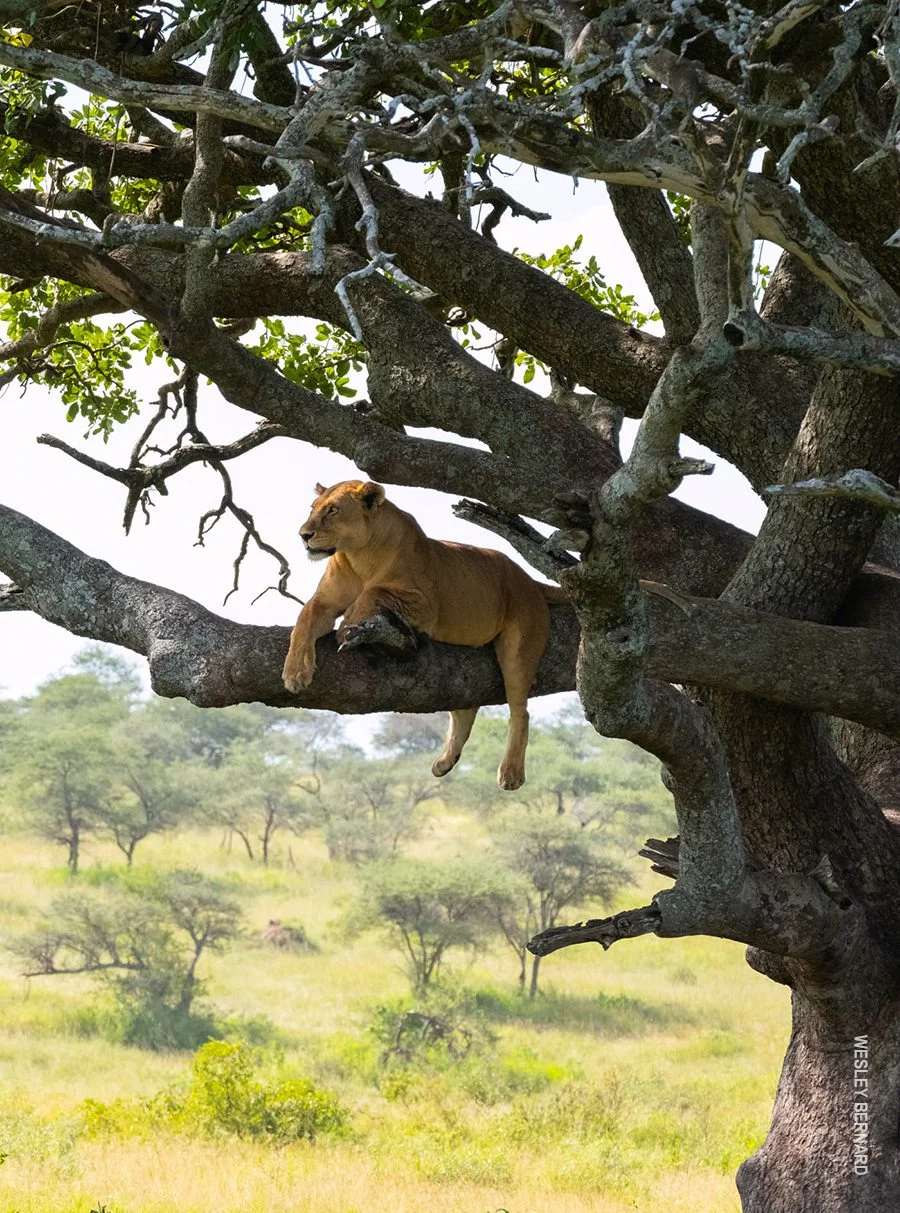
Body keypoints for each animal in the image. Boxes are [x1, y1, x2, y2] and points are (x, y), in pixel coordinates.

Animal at [281, 480, 566, 790]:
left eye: (333, 510)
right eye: (313, 509)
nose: (303, 535)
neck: (359, 556)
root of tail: (527, 578)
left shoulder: (424, 603)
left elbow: (374, 591)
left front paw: (348, 624)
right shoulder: (324, 601)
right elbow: (304, 619)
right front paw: (295, 672)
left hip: (518, 648)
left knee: (520, 711)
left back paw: (511, 772)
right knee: (465, 707)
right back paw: (445, 761)